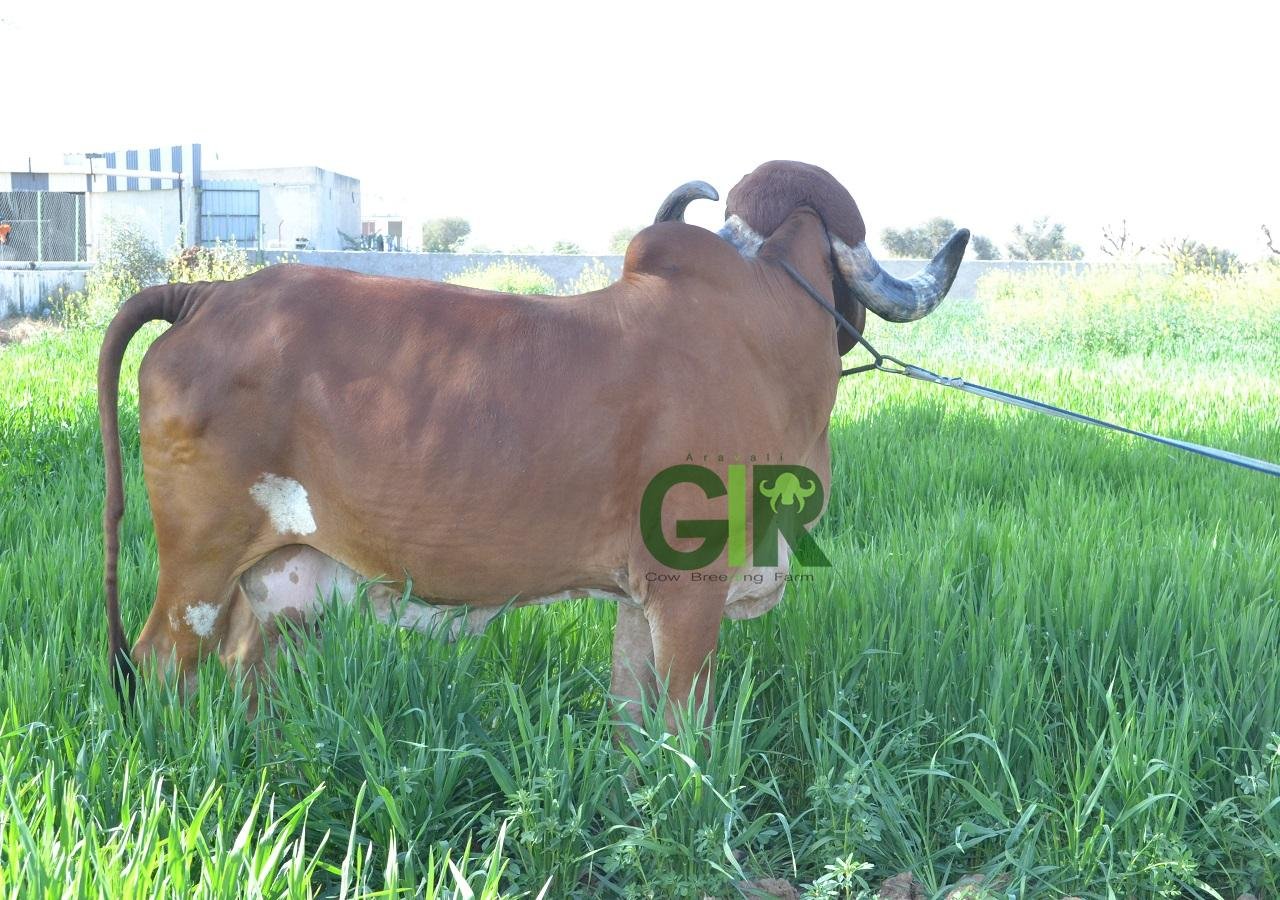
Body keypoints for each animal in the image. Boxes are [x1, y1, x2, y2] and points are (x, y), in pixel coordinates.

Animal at [98, 160, 968, 725]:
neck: (765, 333)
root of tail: (207, 294)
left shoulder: (640, 596)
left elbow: (633, 721)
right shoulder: (690, 592)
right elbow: (686, 731)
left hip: (279, 575)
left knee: (248, 663)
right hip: (200, 562)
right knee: (164, 661)